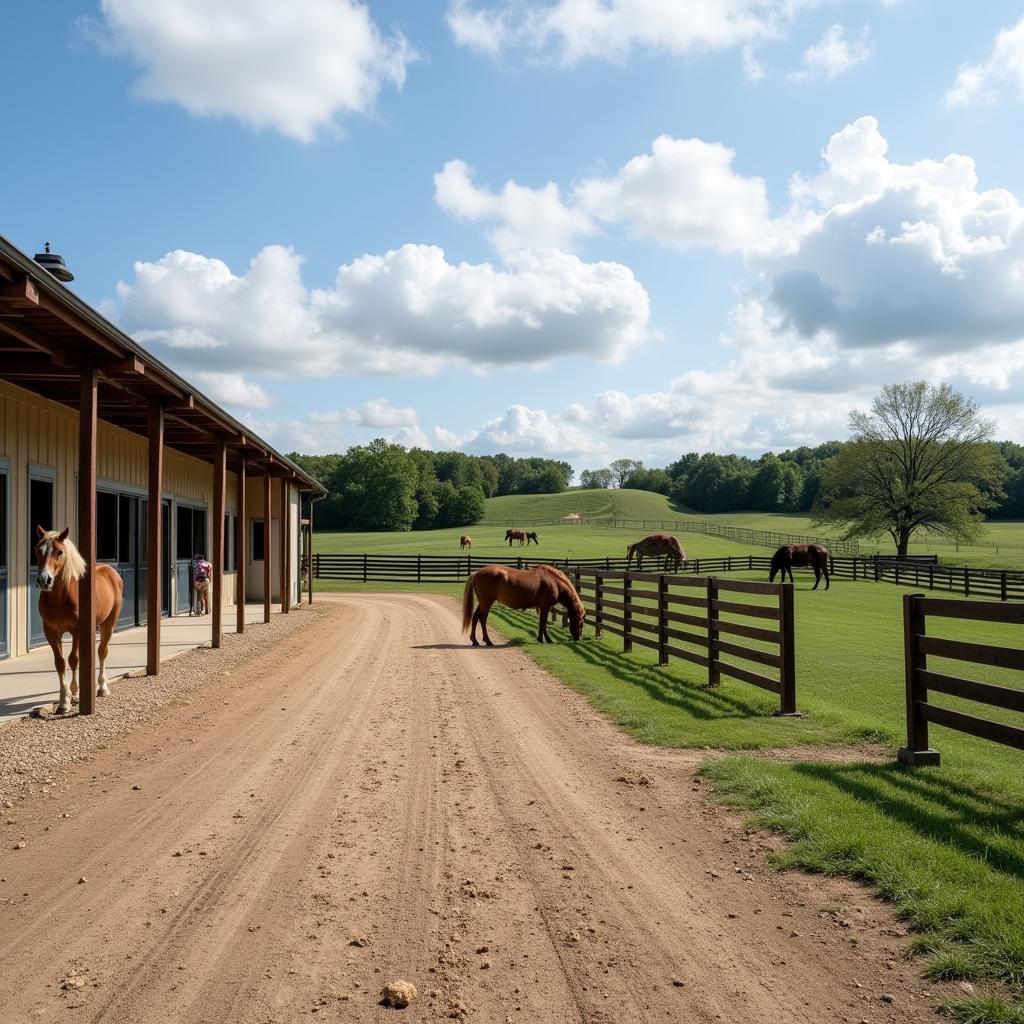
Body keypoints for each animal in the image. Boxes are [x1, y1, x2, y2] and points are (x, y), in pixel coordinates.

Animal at [34, 528, 123, 712]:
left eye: (59, 552)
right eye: (38, 550)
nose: (44, 580)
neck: (61, 598)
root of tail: (111, 572)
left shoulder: (76, 630)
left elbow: (73, 660)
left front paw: (73, 693)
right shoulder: (51, 632)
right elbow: (60, 662)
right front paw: (64, 700)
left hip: (109, 623)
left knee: (102, 651)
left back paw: (102, 687)